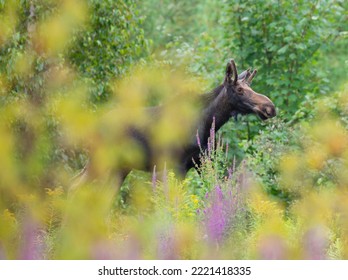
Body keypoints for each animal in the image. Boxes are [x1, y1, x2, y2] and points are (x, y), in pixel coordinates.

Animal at [72, 59, 276, 186]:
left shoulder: (200, 163)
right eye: (240, 90)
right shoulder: (172, 166)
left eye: (251, 88)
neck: (206, 122)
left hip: (121, 167)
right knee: (75, 185)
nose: (270, 107)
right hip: (100, 160)